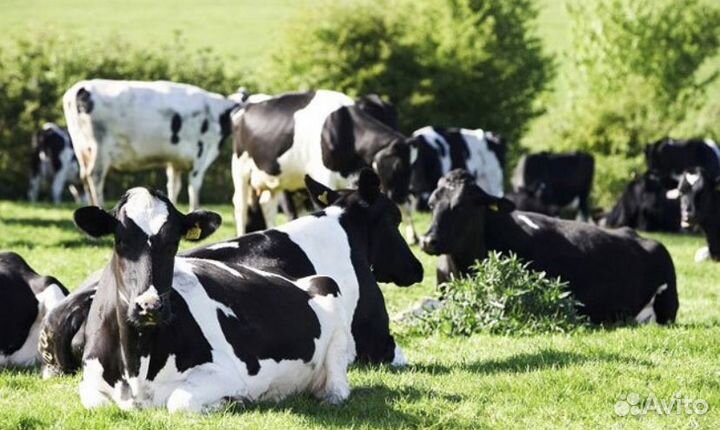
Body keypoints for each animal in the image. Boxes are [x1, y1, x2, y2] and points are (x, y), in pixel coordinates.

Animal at [62, 79, 238, 210]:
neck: (218, 113)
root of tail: (80, 88)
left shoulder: (175, 162)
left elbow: (173, 186)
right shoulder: (202, 156)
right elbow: (194, 188)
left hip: (82, 148)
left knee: (84, 178)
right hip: (99, 148)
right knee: (95, 177)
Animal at [73, 188, 351, 412]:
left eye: (174, 242)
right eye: (120, 240)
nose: (150, 306)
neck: (136, 366)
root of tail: (301, 281)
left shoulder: (223, 374)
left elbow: (179, 402)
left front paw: (232, 401)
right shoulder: (91, 380)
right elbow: (94, 401)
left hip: (331, 296)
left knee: (338, 389)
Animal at [230, 89, 417, 235]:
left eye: (412, 167)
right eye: (397, 166)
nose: (401, 197)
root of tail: (245, 107)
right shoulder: (323, 176)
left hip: (272, 178)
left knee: (267, 205)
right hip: (240, 168)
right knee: (240, 207)